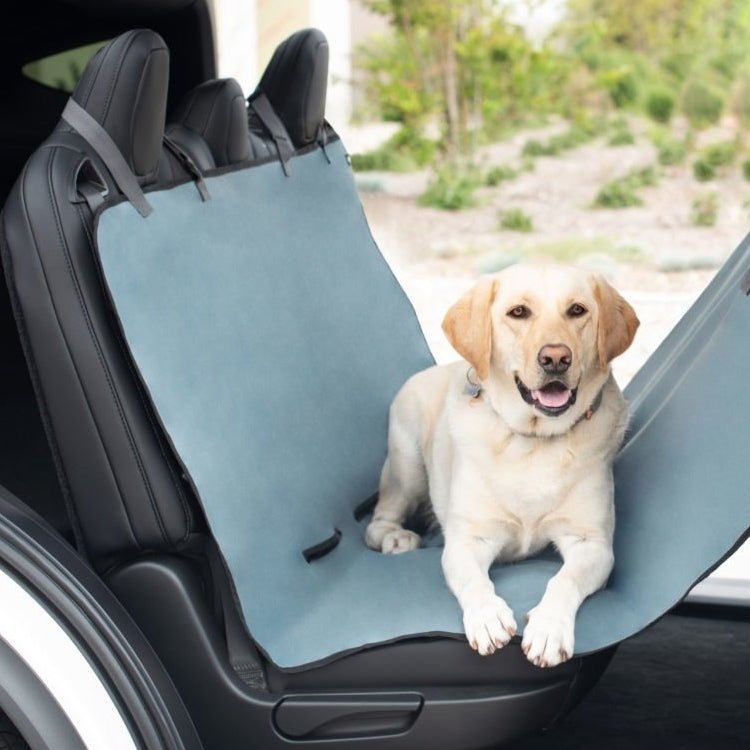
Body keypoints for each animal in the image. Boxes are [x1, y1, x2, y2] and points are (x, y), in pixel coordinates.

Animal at [368, 262, 636, 668]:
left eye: (577, 310)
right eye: (518, 312)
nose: (556, 358)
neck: (533, 440)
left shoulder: (592, 543)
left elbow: (564, 579)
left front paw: (549, 628)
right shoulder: (467, 541)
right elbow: (475, 581)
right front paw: (487, 616)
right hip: (407, 467)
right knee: (377, 521)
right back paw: (396, 537)